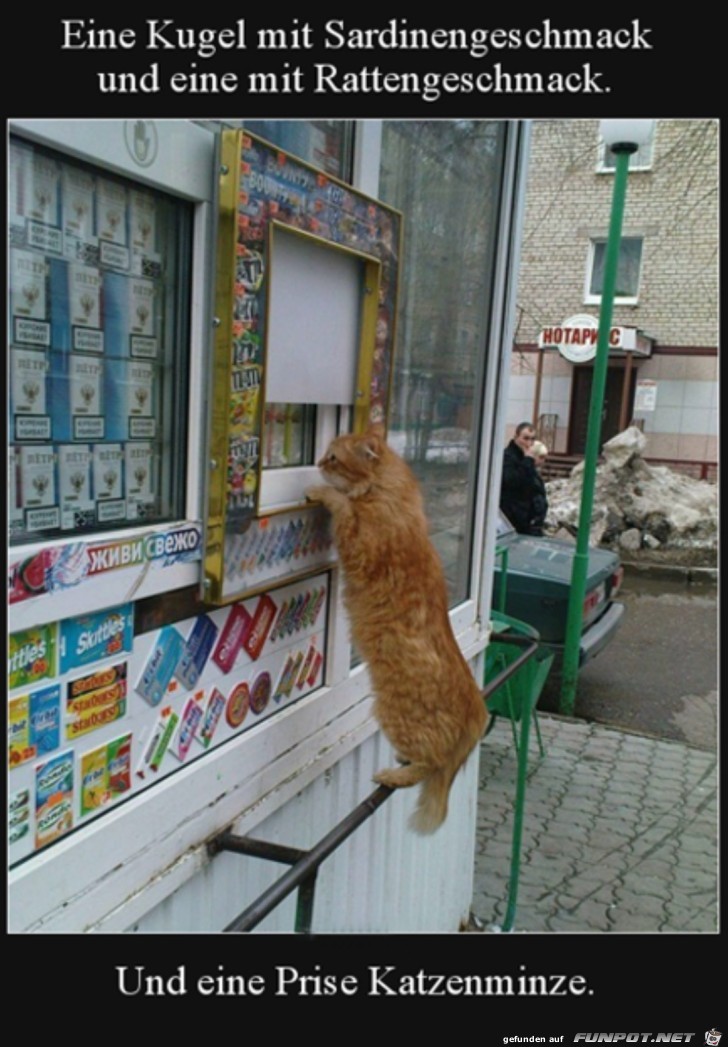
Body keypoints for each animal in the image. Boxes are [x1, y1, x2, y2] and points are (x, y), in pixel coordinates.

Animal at [303, 425, 486, 833]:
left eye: (334, 457)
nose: (319, 462)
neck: (387, 492)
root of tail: (477, 709)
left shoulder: (360, 546)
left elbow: (343, 506)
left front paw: (325, 492)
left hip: (392, 714)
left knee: (431, 764)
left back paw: (393, 774)